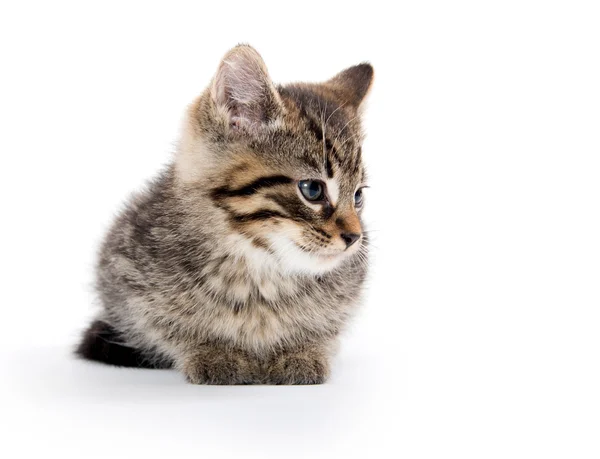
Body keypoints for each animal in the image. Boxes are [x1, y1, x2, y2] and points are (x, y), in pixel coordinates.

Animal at [77, 45, 372, 384]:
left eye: (358, 196)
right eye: (312, 189)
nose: (355, 237)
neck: (259, 267)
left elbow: (323, 328)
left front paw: (302, 352)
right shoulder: (126, 276)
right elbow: (168, 326)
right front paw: (213, 351)